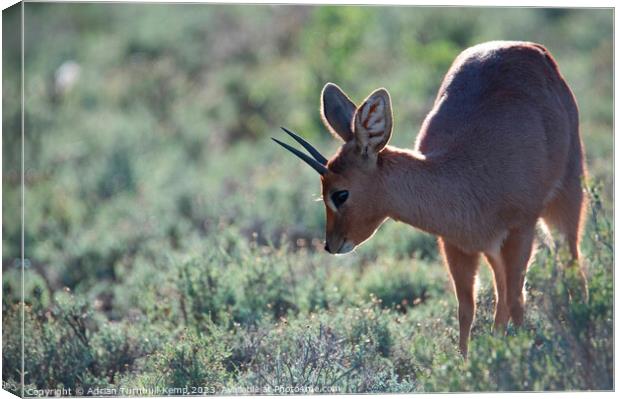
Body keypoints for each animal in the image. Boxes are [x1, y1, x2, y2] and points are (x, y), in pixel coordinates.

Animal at [274, 42, 588, 358]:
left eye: (340, 194)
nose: (331, 245)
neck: (465, 176)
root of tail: (530, 48)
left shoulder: (519, 231)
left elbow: (516, 301)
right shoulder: (456, 244)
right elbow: (467, 309)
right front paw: (468, 362)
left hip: (566, 199)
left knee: (571, 265)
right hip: (492, 247)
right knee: (502, 293)